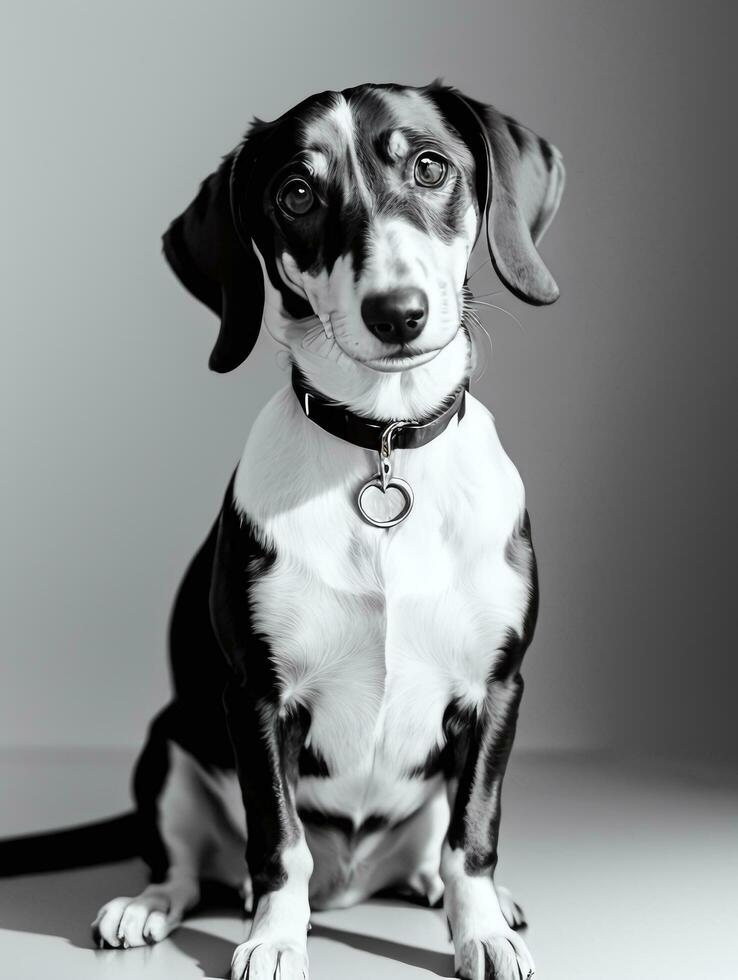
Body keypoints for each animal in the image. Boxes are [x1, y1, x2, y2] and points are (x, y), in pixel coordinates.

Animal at [1, 82, 564, 980]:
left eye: (429, 166)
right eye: (297, 193)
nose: (397, 314)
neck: (380, 442)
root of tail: (352, 884)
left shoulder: (496, 688)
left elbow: (472, 835)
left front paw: (481, 932)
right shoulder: (258, 697)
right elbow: (279, 841)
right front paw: (273, 940)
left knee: (429, 850)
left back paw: (449, 898)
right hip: (168, 747)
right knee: (185, 864)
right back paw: (147, 904)